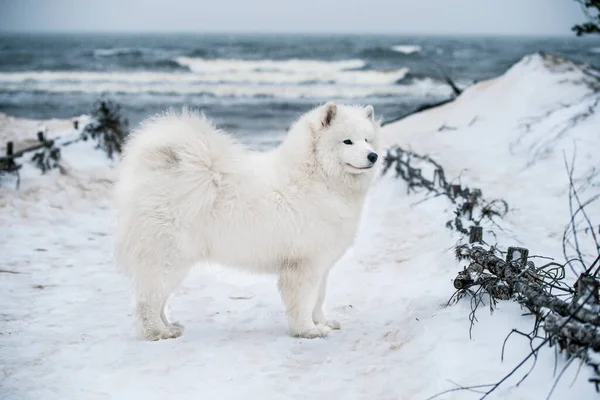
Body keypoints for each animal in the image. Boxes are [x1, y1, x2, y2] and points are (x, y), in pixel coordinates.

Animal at [113, 101, 380, 340]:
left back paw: (170, 327)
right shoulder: (304, 264)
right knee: (147, 302)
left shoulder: (321, 265)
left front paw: (322, 323)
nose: (373, 156)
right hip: (168, 260)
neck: (318, 177)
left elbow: (318, 299)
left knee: (157, 300)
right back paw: (158, 332)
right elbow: (304, 301)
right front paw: (308, 330)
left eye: (367, 140)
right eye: (347, 141)